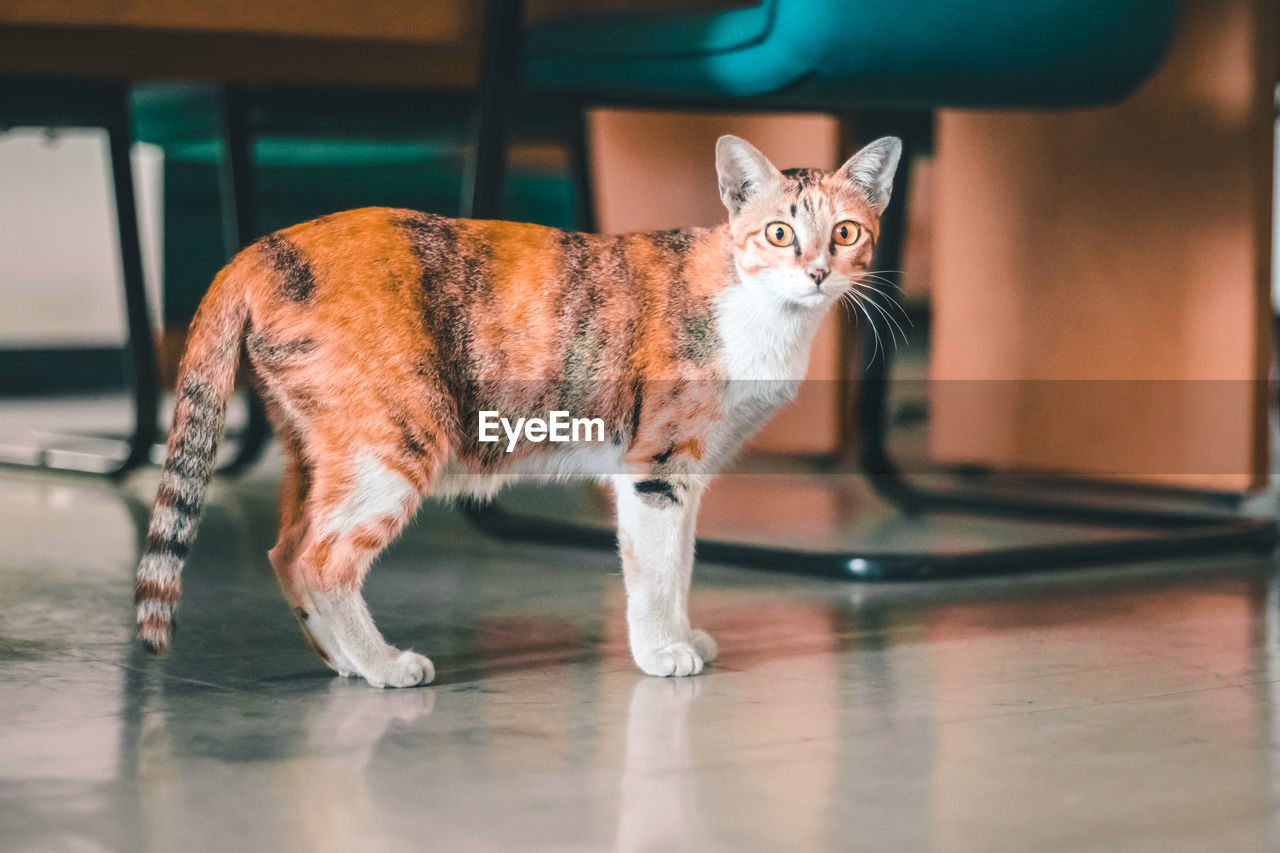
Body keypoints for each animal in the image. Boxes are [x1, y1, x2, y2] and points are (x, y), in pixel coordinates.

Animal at [135, 134, 901, 686]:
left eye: (845, 233)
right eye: (778, 234)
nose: (817, 272)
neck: (759, 311)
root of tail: (259, 250)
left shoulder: (691, 470)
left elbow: (681, 563)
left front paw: (685, 635)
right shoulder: (655, 464)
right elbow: (655, 573)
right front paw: (662, 651)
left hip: (322, 447)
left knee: (287, 549)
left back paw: (346, 663)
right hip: (393, 442)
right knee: (323, 560)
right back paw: (383, 665)